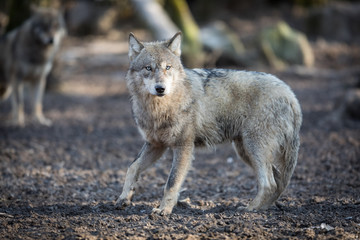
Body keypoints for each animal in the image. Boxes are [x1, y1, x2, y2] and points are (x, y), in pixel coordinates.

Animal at [115, 31, 300, 216]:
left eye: (168, 67)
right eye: (148, 68)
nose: (160, 88)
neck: (159, 108)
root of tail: (290, 93)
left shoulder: (183, 147)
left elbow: (172, 182)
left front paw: (164, 210)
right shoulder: (156, 145)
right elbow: (132, 167)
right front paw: (124, 198)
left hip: (253, 148)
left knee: (269, 183)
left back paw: (250, 208)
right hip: (245, 152)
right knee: (277, 181)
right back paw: (263, 208)